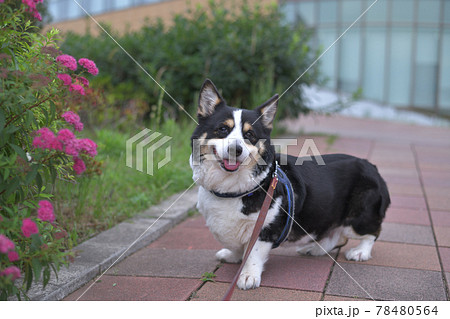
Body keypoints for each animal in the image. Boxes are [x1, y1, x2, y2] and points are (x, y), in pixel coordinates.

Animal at [190, 79, 390, 290]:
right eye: (222, 129)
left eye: (250, 134)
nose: (235, 150)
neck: (231, 189)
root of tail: (372, 167)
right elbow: (237, 246)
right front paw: (232, 256)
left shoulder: (266, 229)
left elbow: (253, 253)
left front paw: (248, 276)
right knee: (337, 236)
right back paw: (313, 249)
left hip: (359, 218)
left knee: (371, 232)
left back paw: (360, 252)